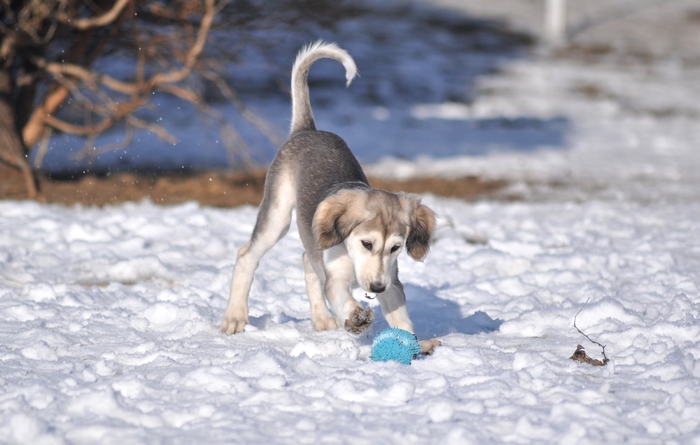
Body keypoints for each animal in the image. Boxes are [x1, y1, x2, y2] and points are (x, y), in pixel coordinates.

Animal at [221, 41, 438, 352]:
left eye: (396, 248)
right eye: (366, 243)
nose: (376, 288)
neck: (352, 257)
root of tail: (307, 130)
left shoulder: (392, 280)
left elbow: (401, 317)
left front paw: (411, 344)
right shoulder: (336, 279)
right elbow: (339, 295)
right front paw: (355, 317)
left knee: (306, 259)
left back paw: (322, 318)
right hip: (276, 216)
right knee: (246, 256)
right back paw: (235, 316)